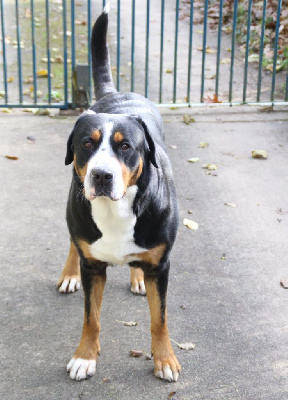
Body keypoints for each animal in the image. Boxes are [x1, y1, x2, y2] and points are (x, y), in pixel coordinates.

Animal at [57, 6, 181, 382]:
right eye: (87, 144)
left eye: (125, 146)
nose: (101, 175)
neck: (116, 212)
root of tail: (116, 95)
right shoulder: (93, 266)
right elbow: (91, 318)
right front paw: (84, 356)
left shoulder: (161, 266)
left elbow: (160, 319)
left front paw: (165, 359)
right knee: (73, 243)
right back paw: (68, 275)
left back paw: (136, 275)